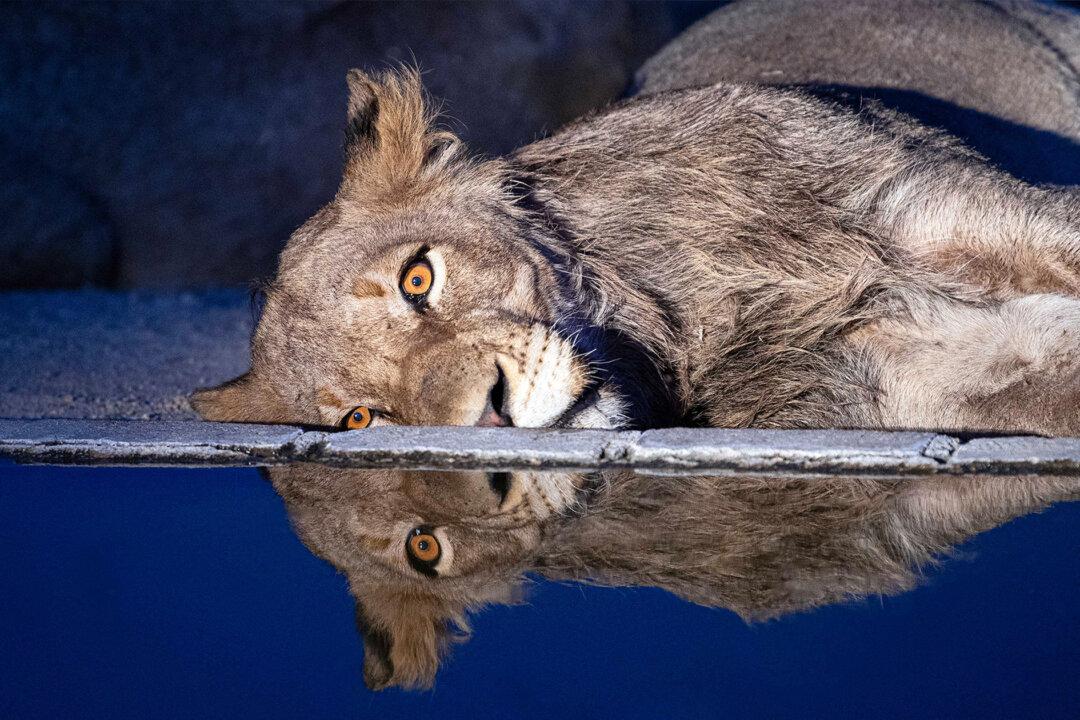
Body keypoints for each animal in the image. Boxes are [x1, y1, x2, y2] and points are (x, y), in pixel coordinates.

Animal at [190, 60, 1080, 434]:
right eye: (363, 417)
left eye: (417, 279)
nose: (489, 414)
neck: (692, 304)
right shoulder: (909, 380)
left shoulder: (935, 207)